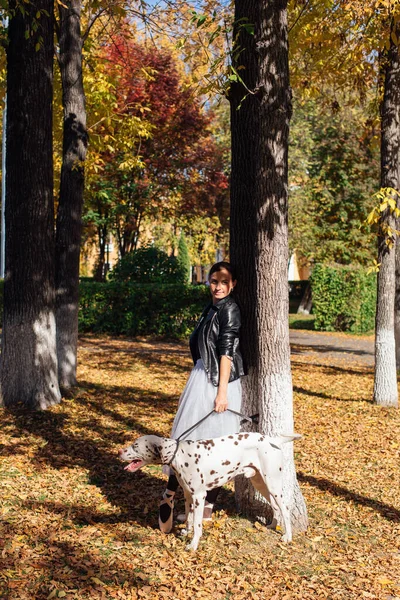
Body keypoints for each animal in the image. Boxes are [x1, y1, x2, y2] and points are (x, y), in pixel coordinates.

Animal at [119, 432, 300, 552]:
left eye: (135, 446)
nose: (120, 452)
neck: (180, 454)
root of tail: (271, 439)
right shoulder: (188, 495)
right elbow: (189, 518)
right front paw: (186, 532)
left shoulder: (199, 496)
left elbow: (197, 524)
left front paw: (193, 544)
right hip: (261, 484)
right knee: (276, 507)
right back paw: (272, 525)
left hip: (273, 484)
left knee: (285, 508)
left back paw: (287, 537)